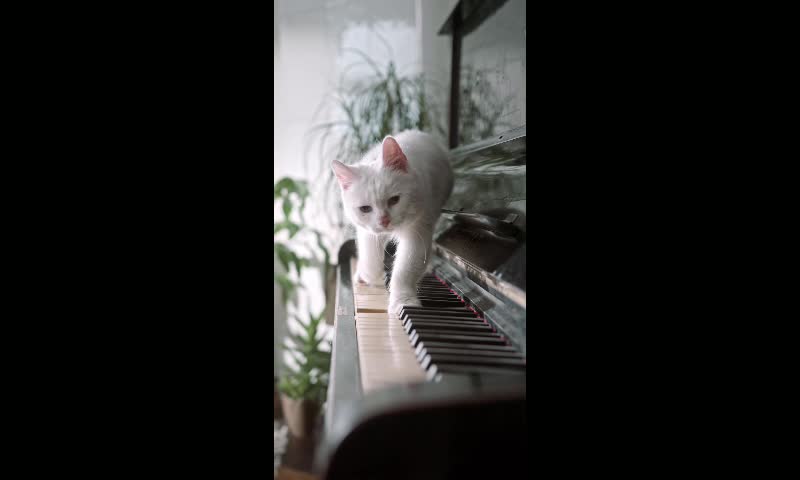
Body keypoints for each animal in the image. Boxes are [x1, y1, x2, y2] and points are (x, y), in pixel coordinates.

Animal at [332, 129, 454, 316]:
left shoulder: (418, 231)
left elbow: (405, 270)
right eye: (365, 209)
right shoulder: (368, 232)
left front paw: (403, 302)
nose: (384, 220)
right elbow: (370, 256)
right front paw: (371, 278)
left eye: (394, 200)